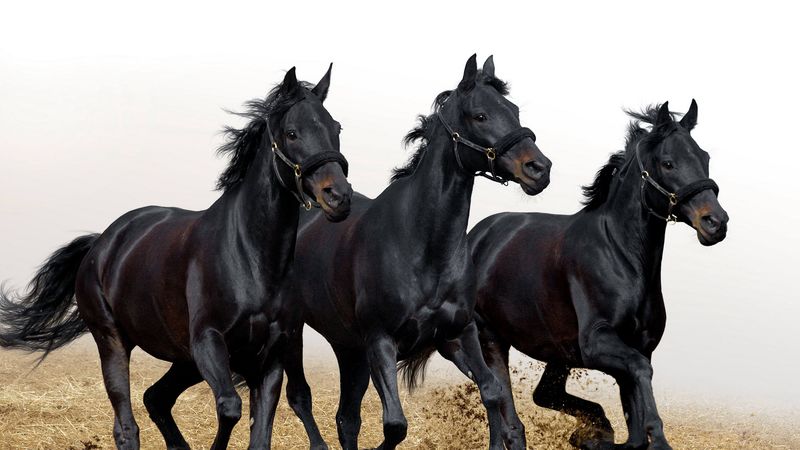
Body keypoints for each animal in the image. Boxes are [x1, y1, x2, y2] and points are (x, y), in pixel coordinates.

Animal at [0, 65, 352, 450]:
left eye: (336, 128)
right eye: (292, 133)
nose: (338, 197)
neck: (252, 259)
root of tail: (102, 243)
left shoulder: (270, 356)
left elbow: (259, 435)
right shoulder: (209, 343)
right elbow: (229, 407)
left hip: (183, 360)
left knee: (156, 397)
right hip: (113, 341)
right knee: (127, 425)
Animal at [279, 55, 551, 450]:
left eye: (513, 110)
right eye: (480, 115)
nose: (539, 169)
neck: (422, 248)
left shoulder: (458, 334)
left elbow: (493, 392)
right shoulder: (380, 343)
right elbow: (395, 424)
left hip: (349, 348)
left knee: (346, 418)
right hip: (295, 331)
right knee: (302, 397)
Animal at [468, 100, 728, 450]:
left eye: (705, 158)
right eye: (668, 163)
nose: (716, 222)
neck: (621, 257)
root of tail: (476, 236)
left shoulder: (635, 347)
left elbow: (634, 418)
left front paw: (599, 435)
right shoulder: (597, 343)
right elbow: (641, 374)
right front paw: (656, 437)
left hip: (557, 352)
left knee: (544, 393)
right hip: (491, 338)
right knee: (505, 408)